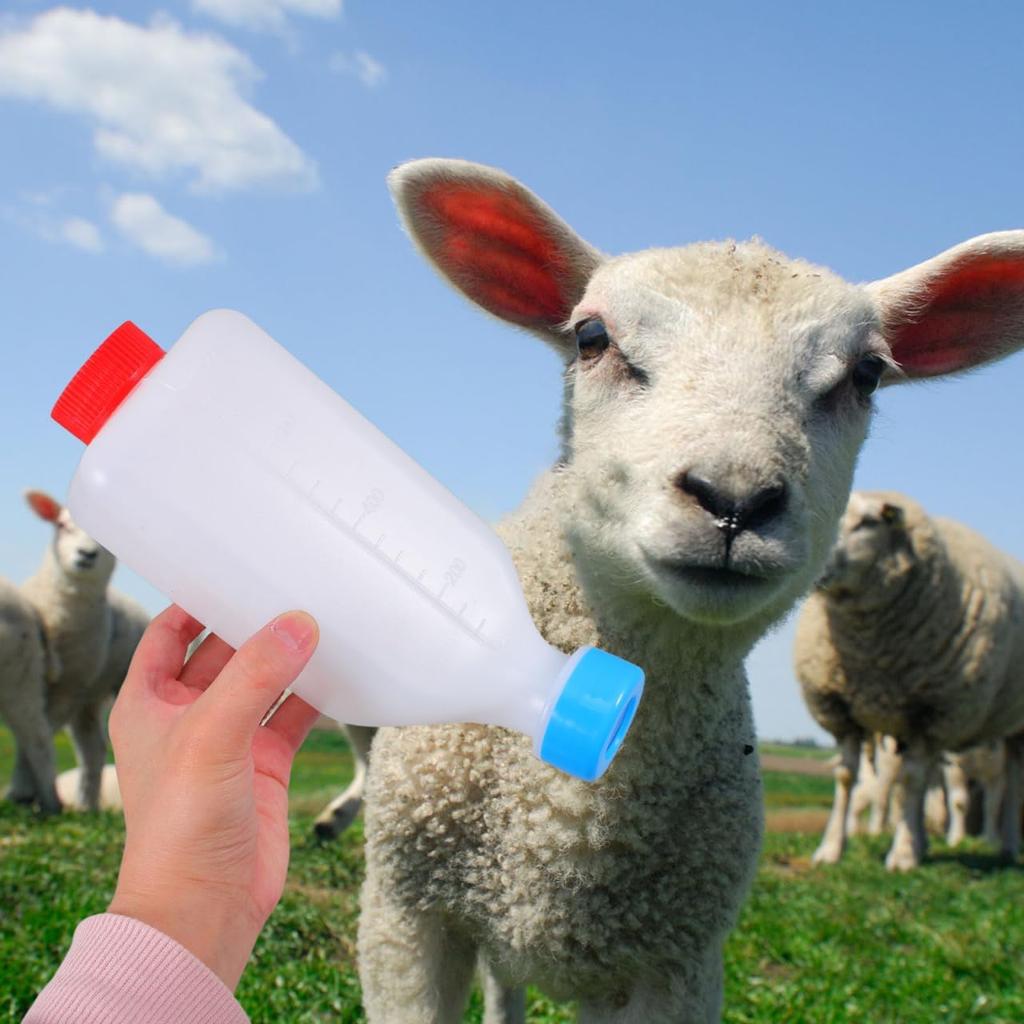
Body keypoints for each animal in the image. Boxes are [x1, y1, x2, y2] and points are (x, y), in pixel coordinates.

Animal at [20, 490, 149, 812]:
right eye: (63, 525)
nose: (87, 555)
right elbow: (34, 731)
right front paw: (24, 793)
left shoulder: (68, 686)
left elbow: (39, 733)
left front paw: (23, 791)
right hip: (87, 697)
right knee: (92, 745)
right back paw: (84, 804)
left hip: (99, 686)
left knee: (93, 746)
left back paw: (86, 804)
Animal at [796, 491, 1024, 872]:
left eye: (868, 522)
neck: (868, 652)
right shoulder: (842, 711)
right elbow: (847, 777)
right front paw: (831, 849)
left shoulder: (931, 712)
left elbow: (911, 780)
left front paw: (902, 854)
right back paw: (924, 842)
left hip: (1013, 726)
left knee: (1010, 781)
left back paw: (1006, 845)